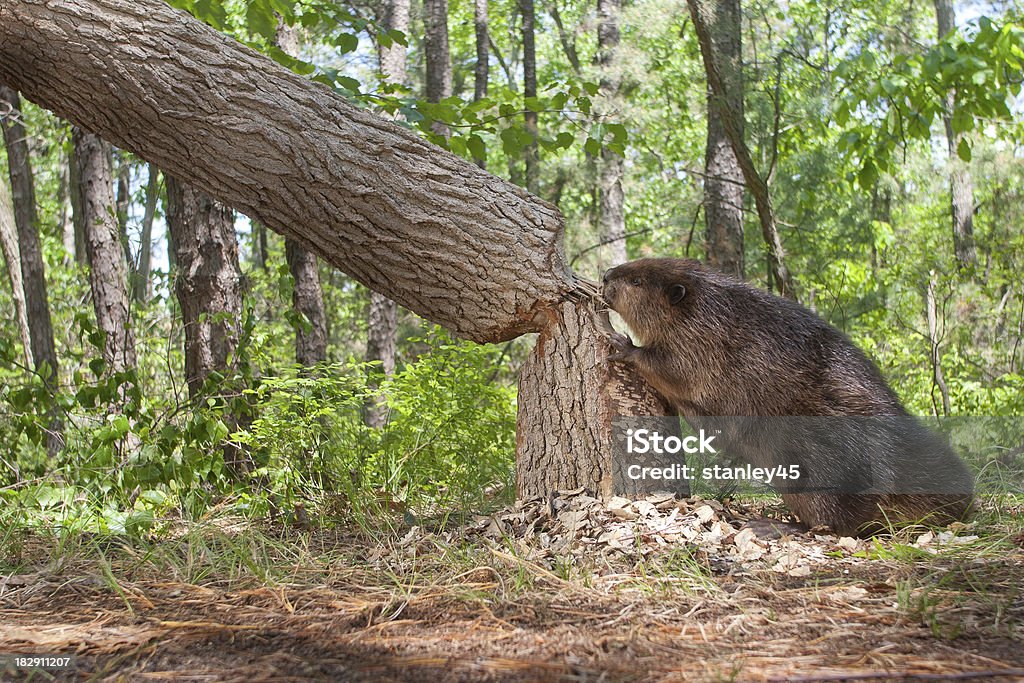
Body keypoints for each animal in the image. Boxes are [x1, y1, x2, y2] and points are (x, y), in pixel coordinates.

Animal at [598, 254, 974, 532]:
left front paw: (621, 343)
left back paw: (771, 524)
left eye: (637, 281)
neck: (707, 305)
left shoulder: (703, 343)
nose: (605, 275)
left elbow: (672, 368)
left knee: (833, 522)